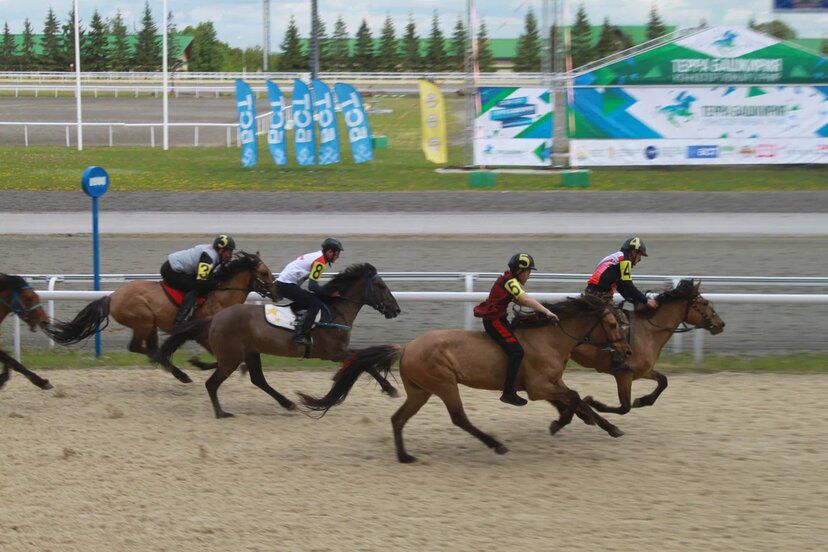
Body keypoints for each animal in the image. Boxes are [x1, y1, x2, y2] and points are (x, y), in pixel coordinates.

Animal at [47, 251, 274, 384]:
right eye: (264, 272)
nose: (277, 290)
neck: (221, 295)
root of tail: (112, 297)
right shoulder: (201, 333)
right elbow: (221, 359)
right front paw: (198, 363)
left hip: (150, 326)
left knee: (150, 347)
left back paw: (172, 368)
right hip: (143, 320)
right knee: (138, 347)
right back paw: (176, 370)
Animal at [157, 260, 402, 416]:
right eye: (380, 285)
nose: (396, 309)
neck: (335, 312)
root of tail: (215, 318)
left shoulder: (338, 353)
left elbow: (363, 363)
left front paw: (389, 388)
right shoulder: (334, 353)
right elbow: (363, 362)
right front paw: (390, 388)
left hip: (250, 352)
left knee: (258, 380)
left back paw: (288, 403)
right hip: (232, 357)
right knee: (212, 383)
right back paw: (221, 412)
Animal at [300, 296, 632, 464]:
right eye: (613, 323)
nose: (627, 351)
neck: (548, 338)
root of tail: (406, 346)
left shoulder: (550, 383)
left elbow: (575, 397)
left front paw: (608, 426)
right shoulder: (538, 387)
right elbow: (573, 397)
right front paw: (562, 423)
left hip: (420, 391)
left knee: (398, 419)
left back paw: (405, 456)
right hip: (444, 384)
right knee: (459, 417)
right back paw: (496, 445)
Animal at [568, 280, 724, 418]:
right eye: (705, 303)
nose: (721, 324)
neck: (649, 331)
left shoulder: (642, 371)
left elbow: (663, 381)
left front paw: (642, 401)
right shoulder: (624, 374)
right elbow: (625, 407)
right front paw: (590, 402)